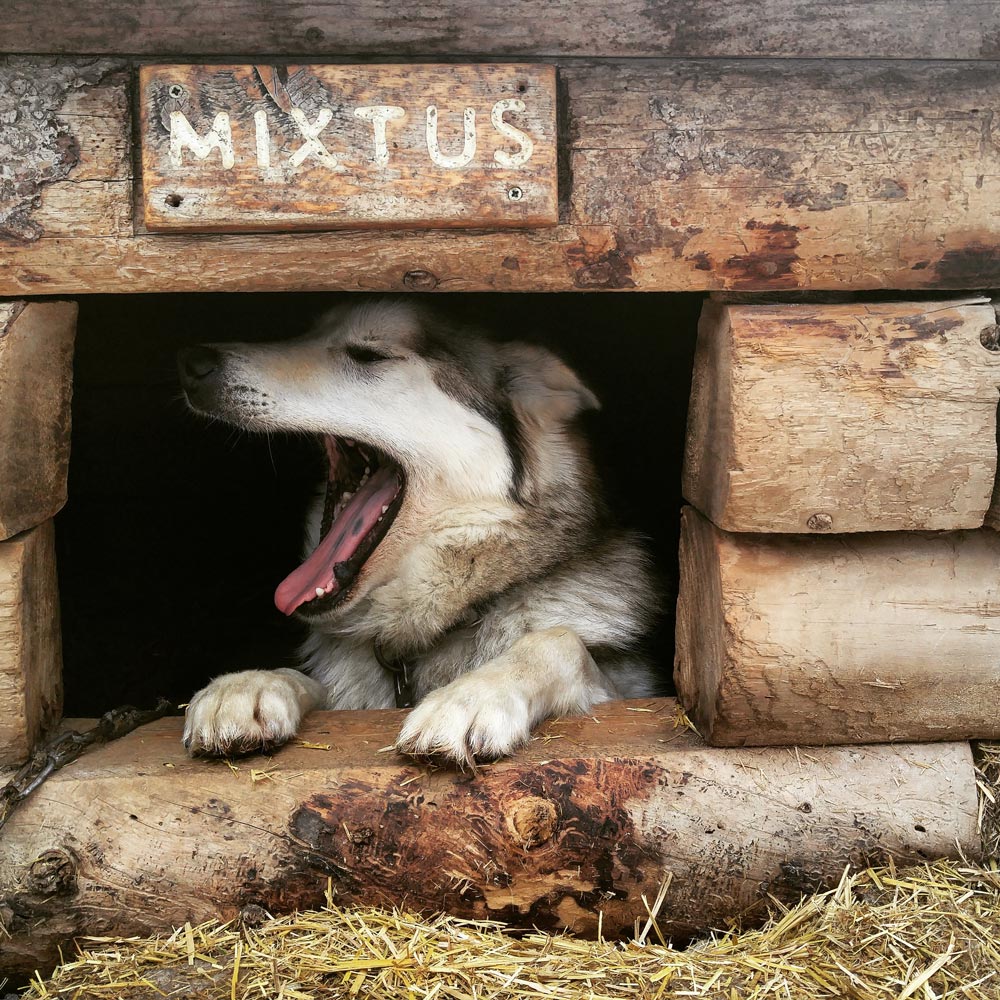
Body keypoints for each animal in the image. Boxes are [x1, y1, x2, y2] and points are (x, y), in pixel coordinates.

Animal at [178, 298, 664, 764]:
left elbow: (556, 641)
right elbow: (312, 683)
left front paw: (471, 695)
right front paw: (248, 684)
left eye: (368, 354)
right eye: (305, 334)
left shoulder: (625, 690)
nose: (193, 363)